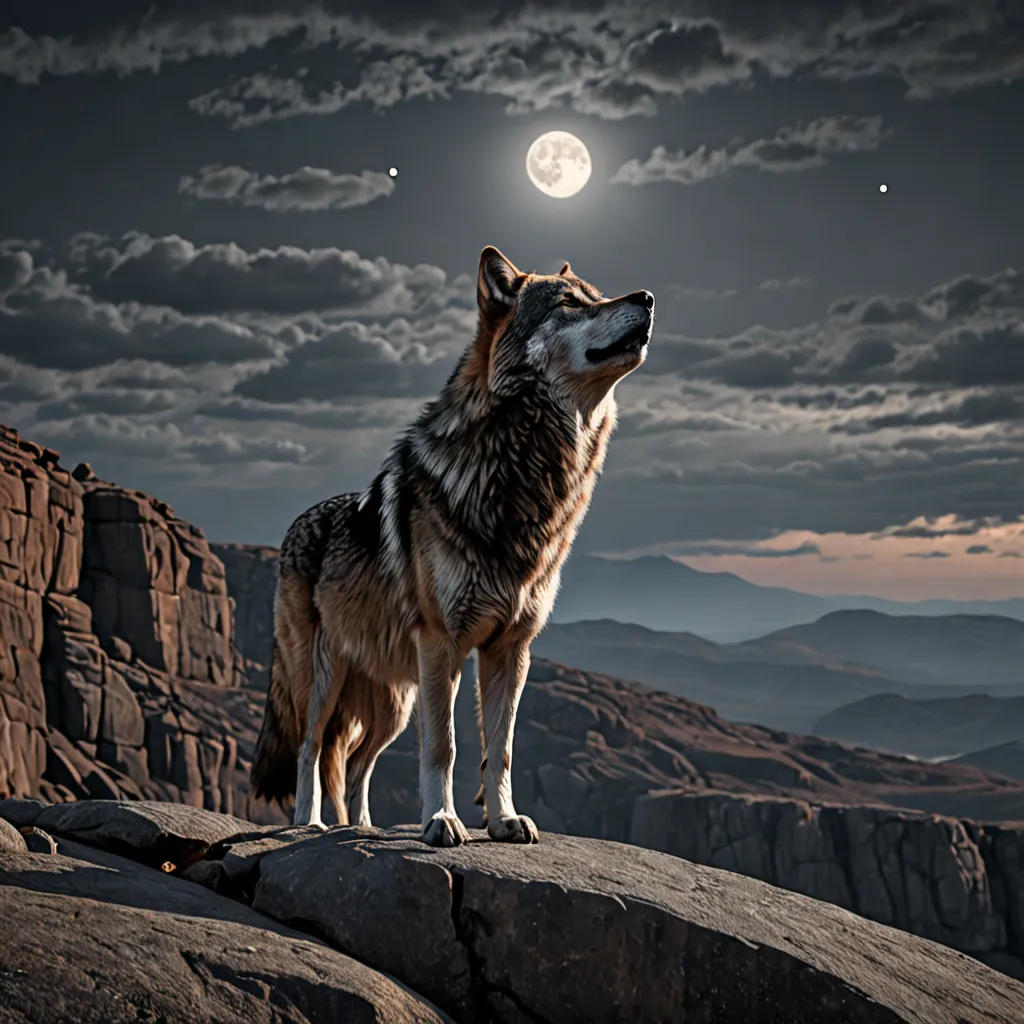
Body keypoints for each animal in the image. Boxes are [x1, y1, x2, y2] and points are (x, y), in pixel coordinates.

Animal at [251, 245, 654, 847]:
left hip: (395, 702)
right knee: (311, 748)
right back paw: (311, 823)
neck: (524, 478)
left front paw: (504, 821)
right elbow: (444, 746)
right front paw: (441, 820)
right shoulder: (442, 644)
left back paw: (361, 825)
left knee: (357, 760)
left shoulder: (510, 647)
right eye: (569, 303)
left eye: (599, 294)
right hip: (325, 680)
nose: (647, 297)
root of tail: (295, 525)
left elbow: (500, 749)